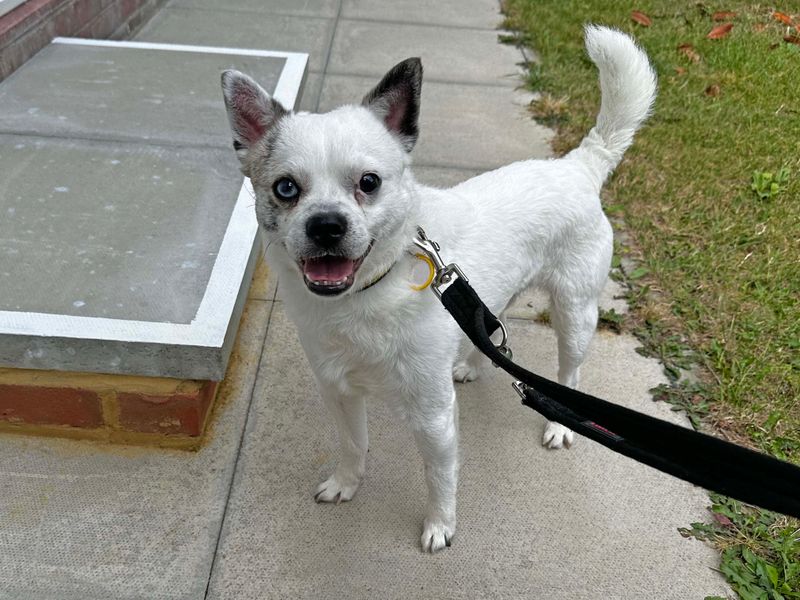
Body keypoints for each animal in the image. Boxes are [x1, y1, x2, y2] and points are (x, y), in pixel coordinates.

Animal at [220, 25, 656, 552]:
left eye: (369, 182)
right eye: (286, 189)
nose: (326, 225)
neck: (366, 296)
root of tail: (577, 165)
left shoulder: (433, 415)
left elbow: (439, 474)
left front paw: (440, 525)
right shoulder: (338, 391)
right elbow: (353, 444)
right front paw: (346, 483)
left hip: (575, 313)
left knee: (569, 372)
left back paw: (557, 423)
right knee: (492, 324)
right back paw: (472, 363)